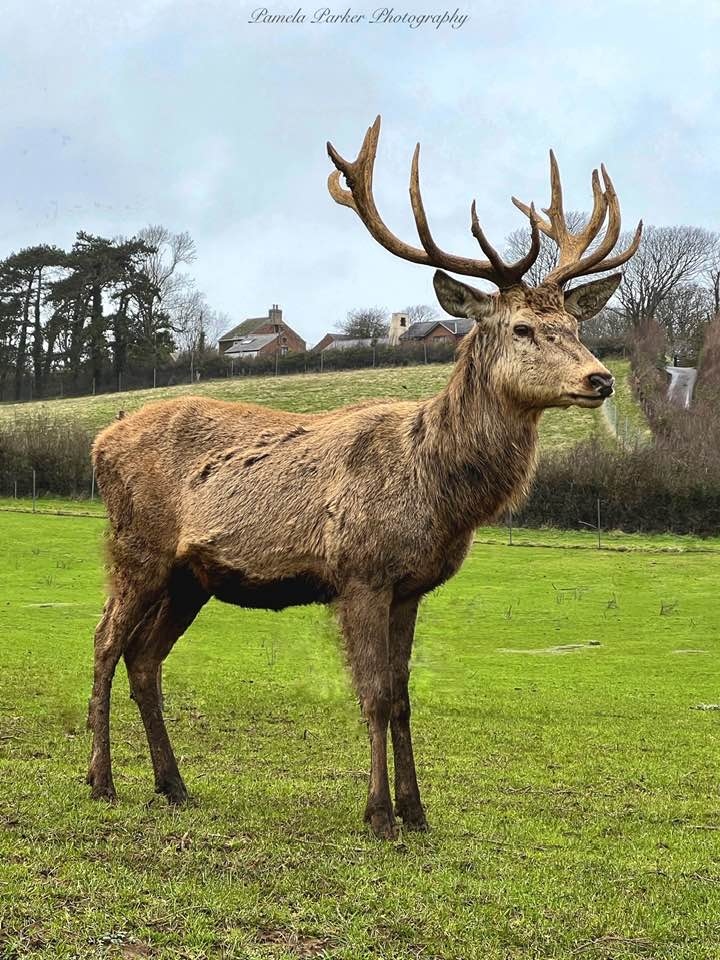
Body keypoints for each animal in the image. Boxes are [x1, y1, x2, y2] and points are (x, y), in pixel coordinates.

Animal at [86, 118, 640, 840]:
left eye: (575, 324)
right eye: (523, 327)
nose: (599, 378)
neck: (437, 489)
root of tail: (99, 442)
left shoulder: (411, 587)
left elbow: (403, 697)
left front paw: (418, 811)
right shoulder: (360, 572)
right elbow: (374, 694)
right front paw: (378, 815)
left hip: (190, 575)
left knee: (145, 658)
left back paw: (173, 784)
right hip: (138, 547)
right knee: (105, 642)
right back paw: (101, 781)